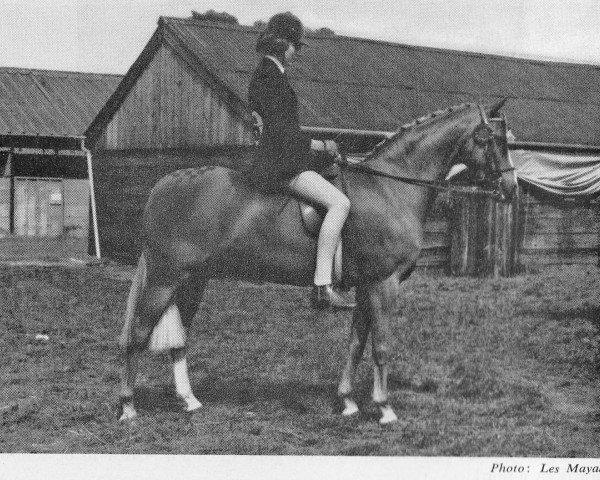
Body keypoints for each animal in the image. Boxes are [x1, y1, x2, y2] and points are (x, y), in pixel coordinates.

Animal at [118, 99, 520, 422]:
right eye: (491, 139)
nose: (511, 189)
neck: (390, 188)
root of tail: (166, 183)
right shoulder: (383, 283)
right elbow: (381, 345)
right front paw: (385, 408)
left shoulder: (365, 286)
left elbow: (356, 343)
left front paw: (348, 402)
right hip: (165, 278)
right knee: (137, 335)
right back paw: (128, 408)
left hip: (193, 281)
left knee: (180, 338)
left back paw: (189, 400)